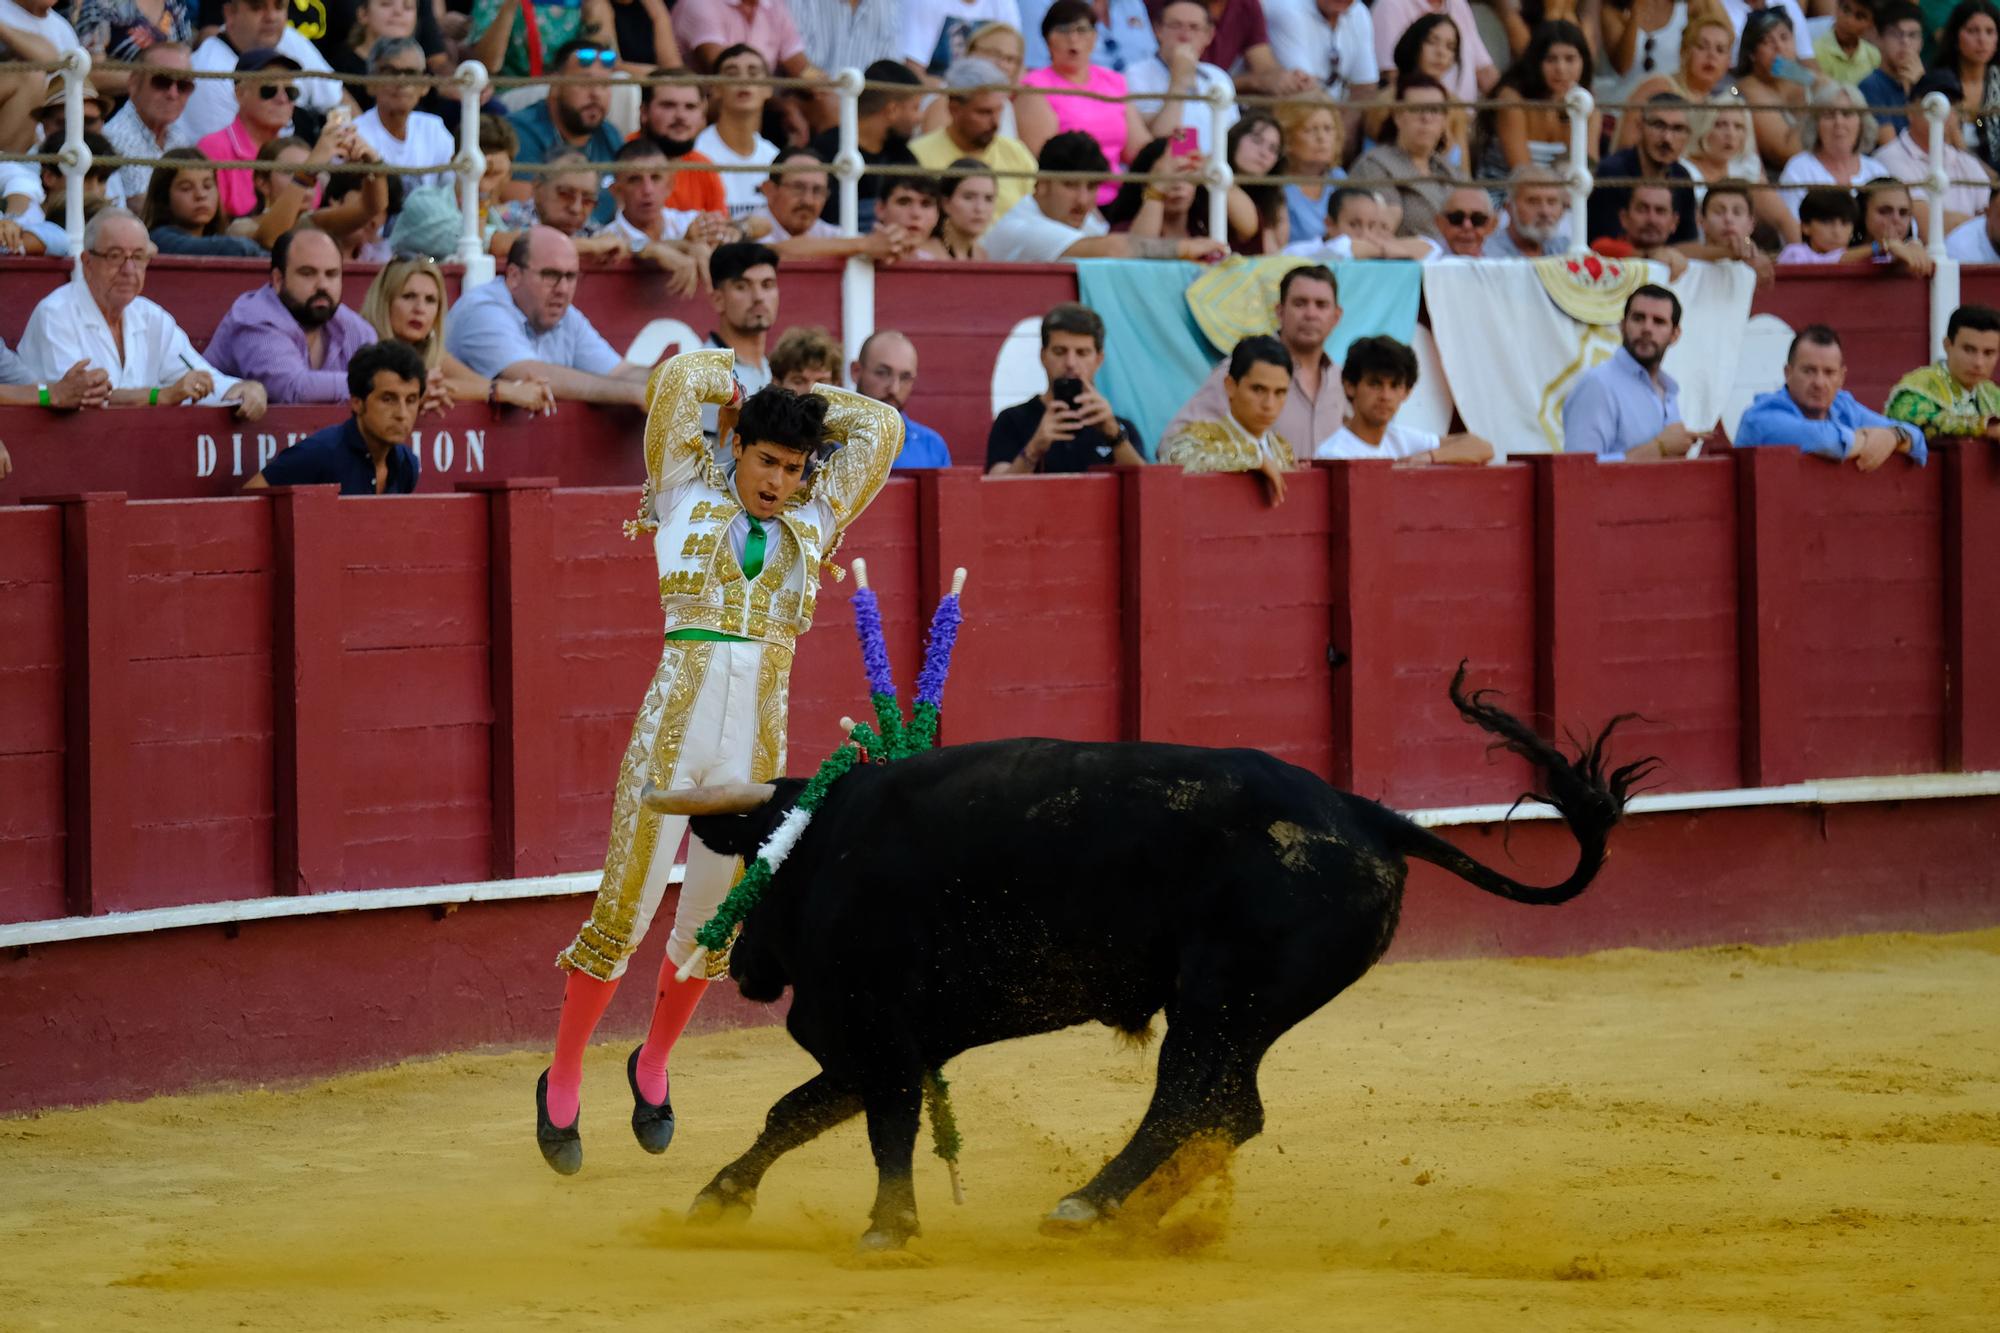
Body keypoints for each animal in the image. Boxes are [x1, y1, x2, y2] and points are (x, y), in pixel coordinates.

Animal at [656, 664, 1656, 1248]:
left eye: (753, 859)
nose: (746, 971)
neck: (828, 843)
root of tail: (1365, 813)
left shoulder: (886, 1035)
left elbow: (880, 1127)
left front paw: (888, 1227)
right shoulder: (874, 1044)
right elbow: (794, 1110)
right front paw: (719, 1195)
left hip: (1219, 1003)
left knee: (1188, 1100)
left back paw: (1089, 1202)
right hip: (1241, 1014)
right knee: (1230, 1109)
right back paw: (1142, 1209)